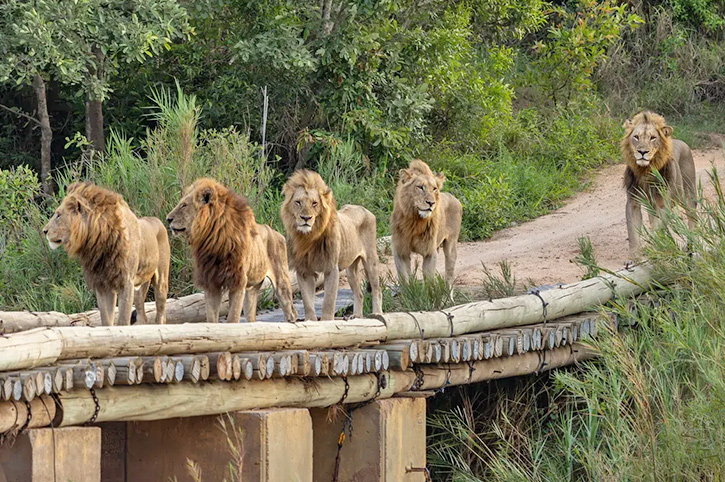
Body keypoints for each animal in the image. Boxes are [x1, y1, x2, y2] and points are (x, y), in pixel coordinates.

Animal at [43, 182, 170, 325]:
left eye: (58, 215)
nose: (44, 231)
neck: (97, 244)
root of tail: (157, 220)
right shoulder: (102, 285)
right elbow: (106, 320)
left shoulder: (126, 282)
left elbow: (123, 319)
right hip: (140, 285)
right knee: (141, 312)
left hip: (161, 279)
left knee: (160, 311)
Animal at [166, 178, 297, 324]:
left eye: (183, 205)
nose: (168, 219)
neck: (214, 241)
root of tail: (276, 233)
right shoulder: (211, 283)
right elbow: (212, 319)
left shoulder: (238, 282)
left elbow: (232, 319)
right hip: (252, 289)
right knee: (252, 317)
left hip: (281, 282)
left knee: (291, 311)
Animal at [281, 170, 382, 321]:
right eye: (298, 202)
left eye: (314, 203)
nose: (306, 218)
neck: (308, 238)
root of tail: (364, 209)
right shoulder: (304, 270)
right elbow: (307, 302)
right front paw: (309, 321)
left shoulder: (331, 268)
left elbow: (328, 301)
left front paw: (327, 321)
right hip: (350, 270)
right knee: (358, 293)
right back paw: (356, 316)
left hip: (370, 260)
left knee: (377, 289)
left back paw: (377, 314)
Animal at [622, 111, 697, 254]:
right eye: (636, 137)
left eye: (652, 138)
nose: (642, 152)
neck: (645, 170)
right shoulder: (633, 202)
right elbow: (633, 233)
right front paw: (635, 255)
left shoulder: (662, 203)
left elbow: (657, 229)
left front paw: (655, 246)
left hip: (689, 194)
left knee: (692, 218)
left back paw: (690, 246)